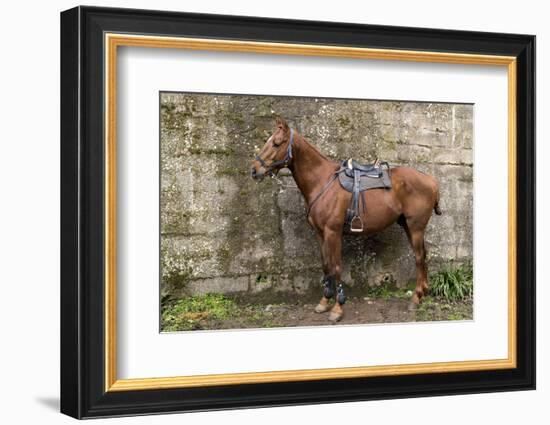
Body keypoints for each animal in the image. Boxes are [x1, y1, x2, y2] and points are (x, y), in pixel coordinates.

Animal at [252, 116, 442, 322]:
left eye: (276, 143)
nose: (254, 170)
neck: (322, 181)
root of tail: (431, 180)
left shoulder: (333, 232)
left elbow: (336, 267)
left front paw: (337, 307)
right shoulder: (320, 234)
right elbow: (326, 265)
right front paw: (324, 301)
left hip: (416, 227)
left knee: (419, 257)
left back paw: (416, 298)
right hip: (407, 225)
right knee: (422, 256)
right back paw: (421, 294)